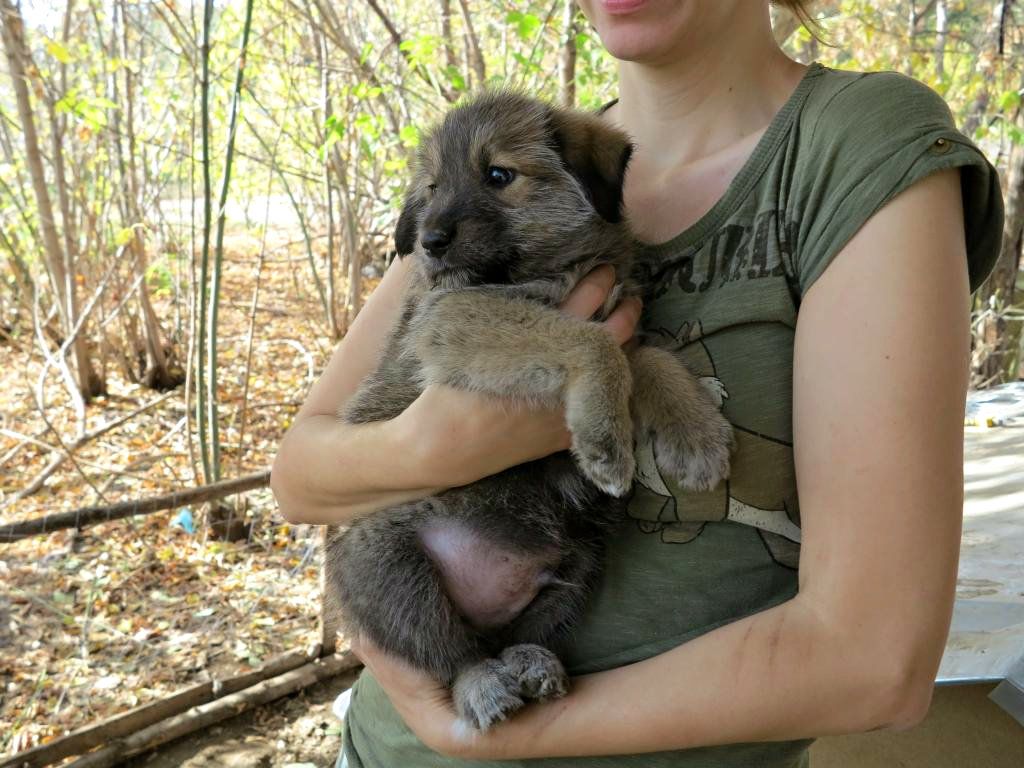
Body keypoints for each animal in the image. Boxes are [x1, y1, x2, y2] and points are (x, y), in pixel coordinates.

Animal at [323, 91, 733, 733]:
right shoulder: (454, 318)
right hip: (382, 559)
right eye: (433, 187)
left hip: (580, 561)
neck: (552, 265)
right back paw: (483, 686)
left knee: (514, 632)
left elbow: (649, 358)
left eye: (498, 175)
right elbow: (591, 341)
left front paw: (694, 434)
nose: (429, 240)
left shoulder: (621, 315)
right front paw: (606, 442)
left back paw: (528, 660)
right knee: (448, 652)